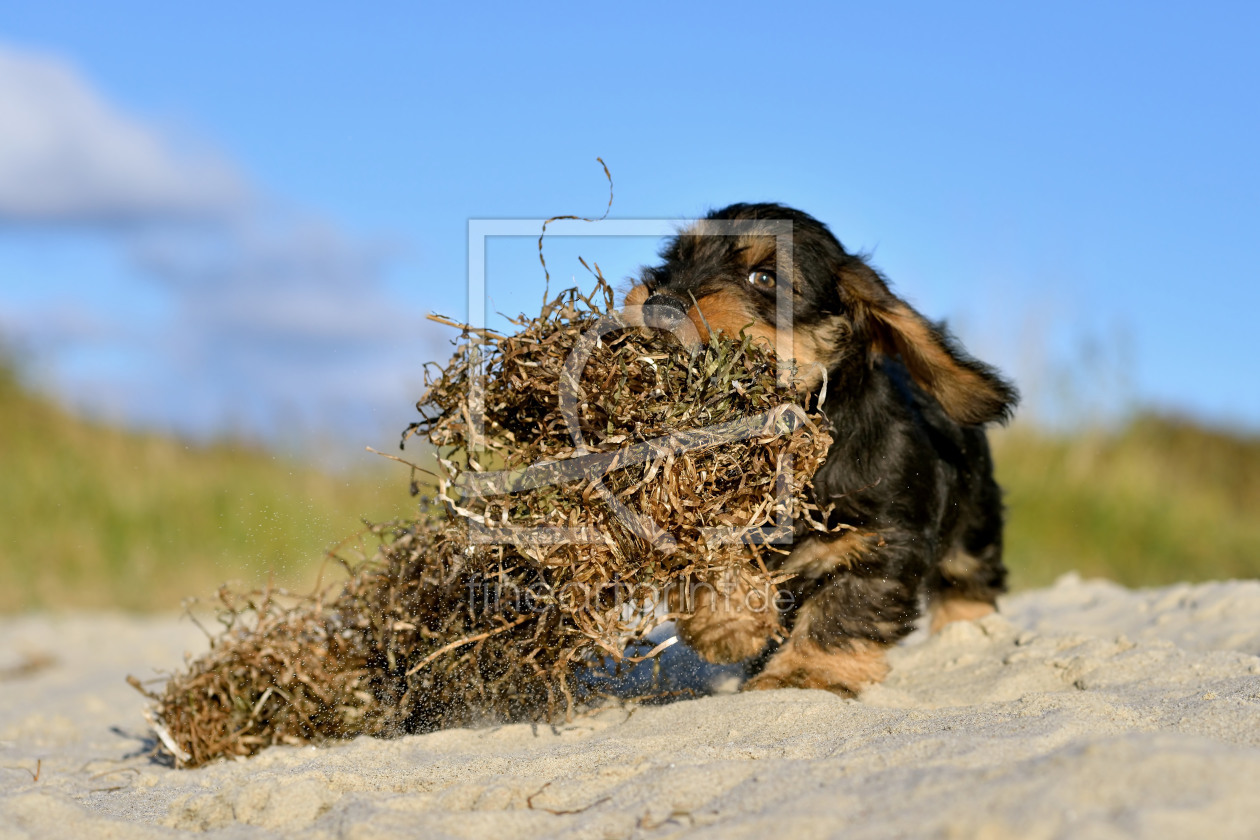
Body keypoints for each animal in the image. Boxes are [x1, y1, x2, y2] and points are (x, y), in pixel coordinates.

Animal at [624, 204, 1018, 695]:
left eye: (765, 277)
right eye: (676, 260)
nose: (658, 305)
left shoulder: (877, 543)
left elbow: (841, 611)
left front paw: (803, 673)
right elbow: (714, 562)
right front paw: (728, 626)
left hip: (973, 521)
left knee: (967, 577)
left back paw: (969, 633)